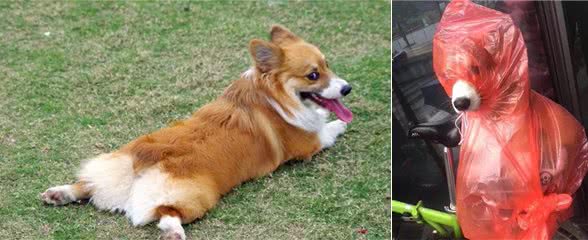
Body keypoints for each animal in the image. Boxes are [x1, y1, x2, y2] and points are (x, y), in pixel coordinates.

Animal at [42, 25, 354, 239]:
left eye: (327, 65)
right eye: (313, 75)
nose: (347, 88)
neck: (271, 95)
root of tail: (144, 156)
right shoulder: (310, 142)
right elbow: (329, 128)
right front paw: (340, 123)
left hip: (113, 167)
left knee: (87, 184)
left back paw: (59, 193)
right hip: (195, 198)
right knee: (167, 213)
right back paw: (173, 232)